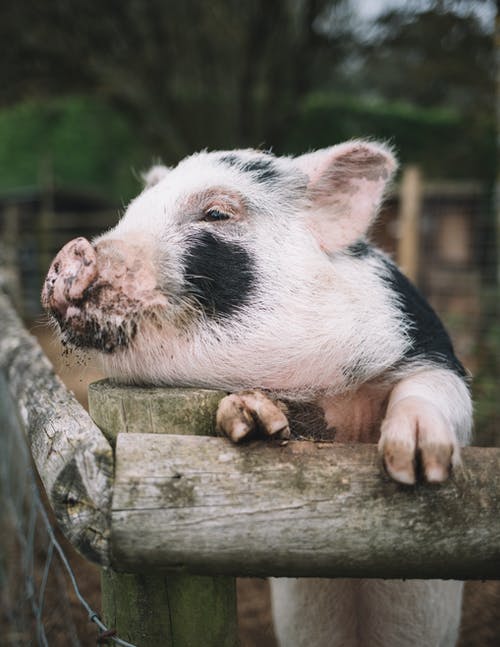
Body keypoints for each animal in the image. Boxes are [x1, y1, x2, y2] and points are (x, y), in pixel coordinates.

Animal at [43, 143, 472, 647]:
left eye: (216, 213)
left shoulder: (430, 349)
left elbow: (436, 389)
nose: (73, 250)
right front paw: (251, 418)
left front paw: (415, 465)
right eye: (132, 210)